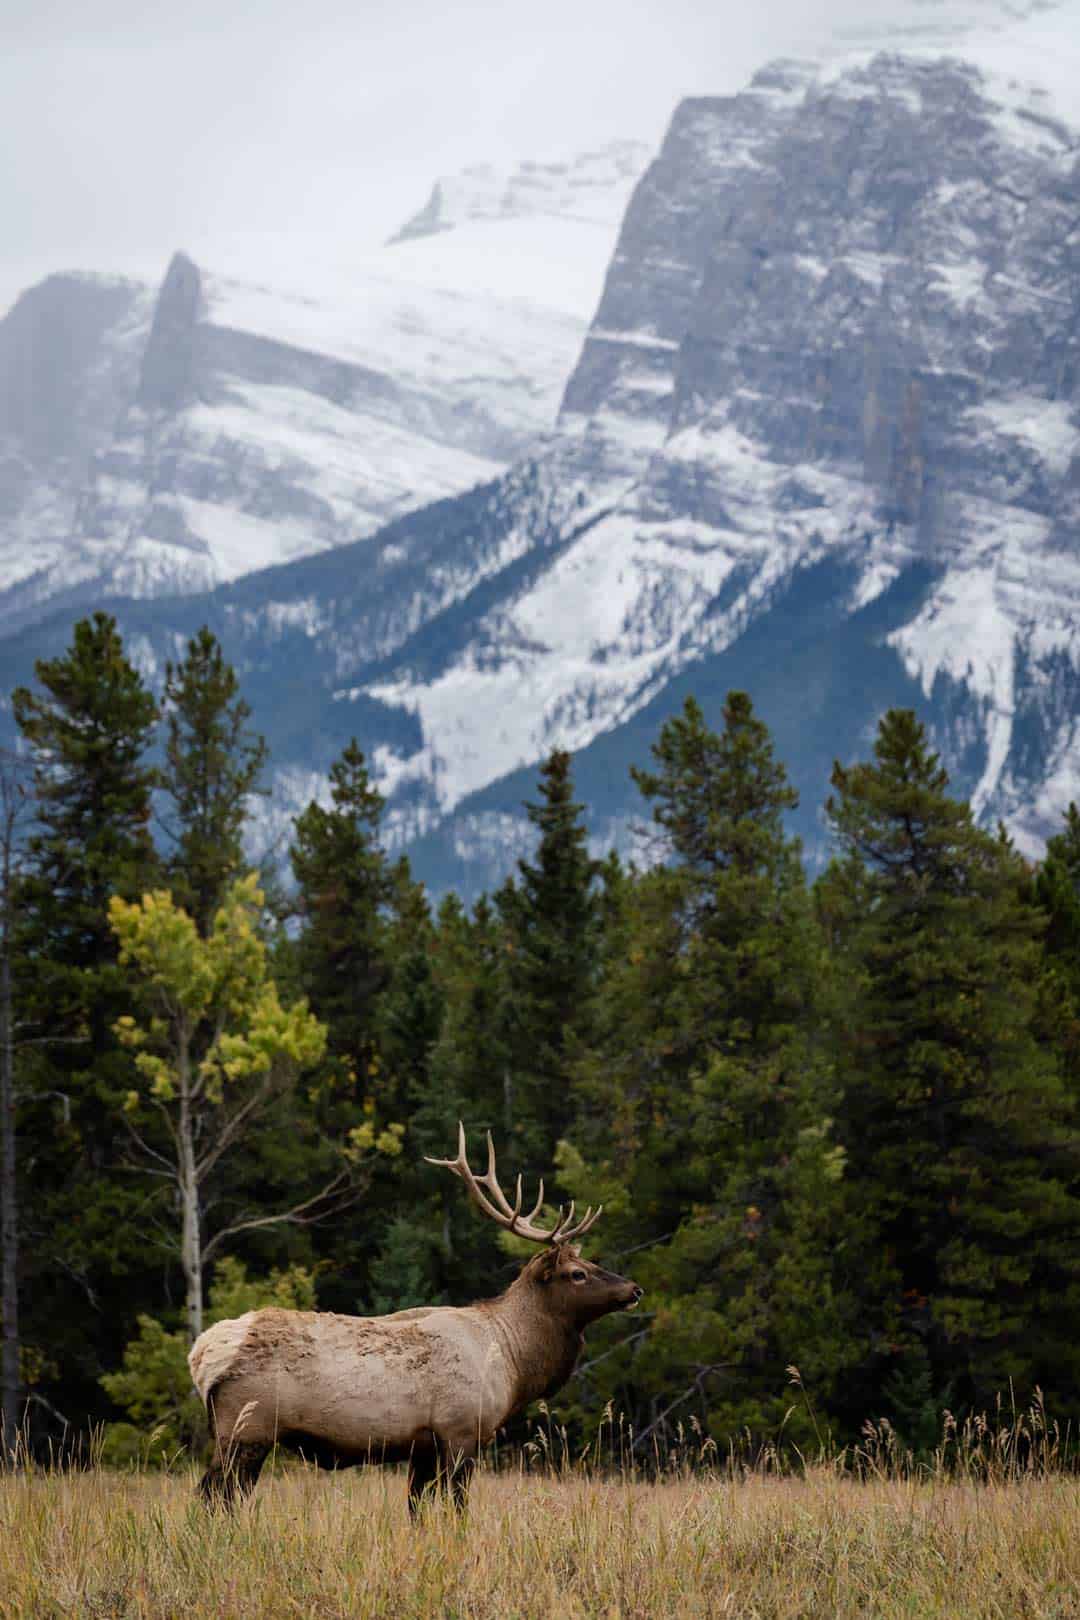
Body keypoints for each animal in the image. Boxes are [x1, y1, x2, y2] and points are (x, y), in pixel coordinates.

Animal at [191, 1121, 641, 1509]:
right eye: (577, 1273)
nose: (634, 1290)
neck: (513, 1363)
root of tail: (201, 1355)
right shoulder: (461, 1430)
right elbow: (456, 1507)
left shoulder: (423, 1446)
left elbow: (416, 1509)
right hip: (247, 1428)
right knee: (214, 1496)